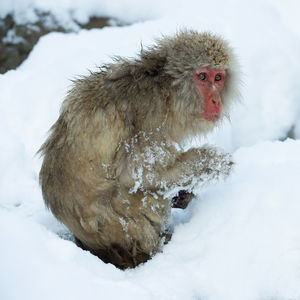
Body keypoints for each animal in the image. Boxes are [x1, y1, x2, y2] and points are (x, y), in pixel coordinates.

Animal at [38, 30, 240, 270]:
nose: (216, 100)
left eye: (218, 78)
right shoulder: (153, 119)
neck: (168, 89)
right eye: (202, 77)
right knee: (146, 198)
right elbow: (137, 173)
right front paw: (211, 162)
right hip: (115, 223)